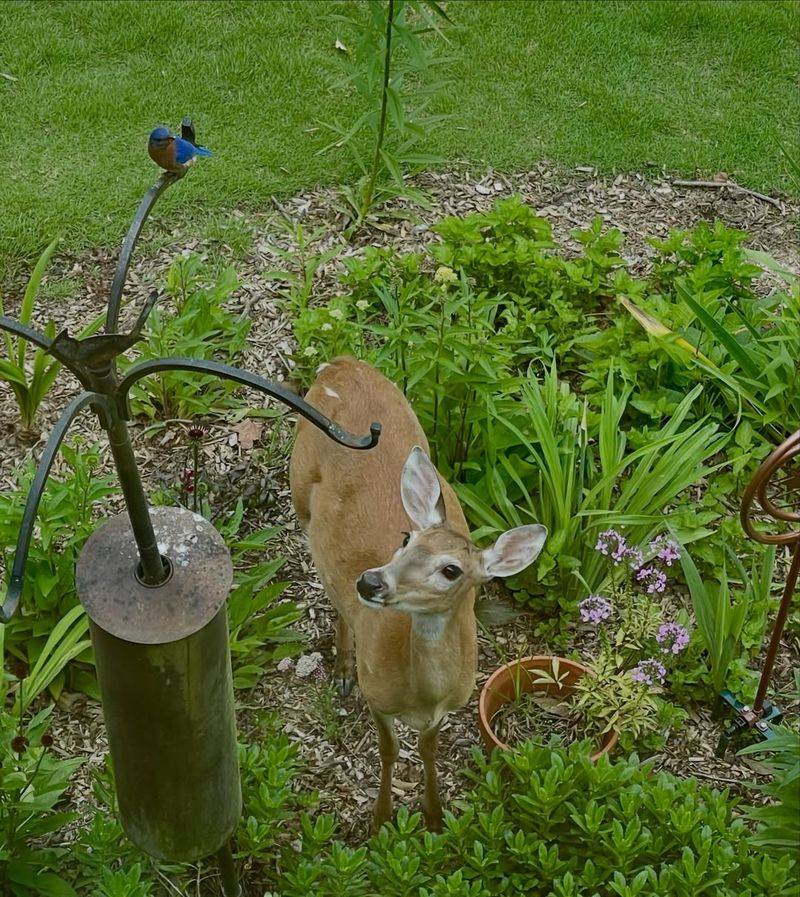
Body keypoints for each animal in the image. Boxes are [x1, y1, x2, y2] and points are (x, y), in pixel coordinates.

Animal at [289, 357, 547, 832]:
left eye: (451, 570)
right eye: (406, 538)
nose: (370, 582)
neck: (421, 695)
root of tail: (339, 364)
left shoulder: (449, 708)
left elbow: (428, 751)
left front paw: (434, 816)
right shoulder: (378, 696)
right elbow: (389, 750)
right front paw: (381, 819)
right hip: (299, 489)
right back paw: (343, 671)